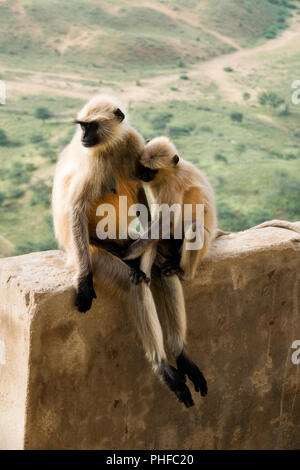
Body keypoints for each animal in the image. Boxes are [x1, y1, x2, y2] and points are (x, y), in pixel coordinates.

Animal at [52, 94, 205, 408]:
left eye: (90, 126)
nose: (84, 137)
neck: (111, 146)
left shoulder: (132, 143)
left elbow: (140, 194)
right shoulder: (93, 158)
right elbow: (76, 208)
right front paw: (83, 282)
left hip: (125, 242)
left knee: (162, 274)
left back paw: (180, 354)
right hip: (92, 253)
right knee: (132, 283)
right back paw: (163, 368)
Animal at [123, 137, 217, 282]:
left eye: (152, 170)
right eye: (143, 167)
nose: (143, 174)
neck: (172, 171)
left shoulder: (173, 183)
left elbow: (167, 220)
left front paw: (128, 254)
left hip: (203, 247)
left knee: (195, 227)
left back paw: (183, 272)